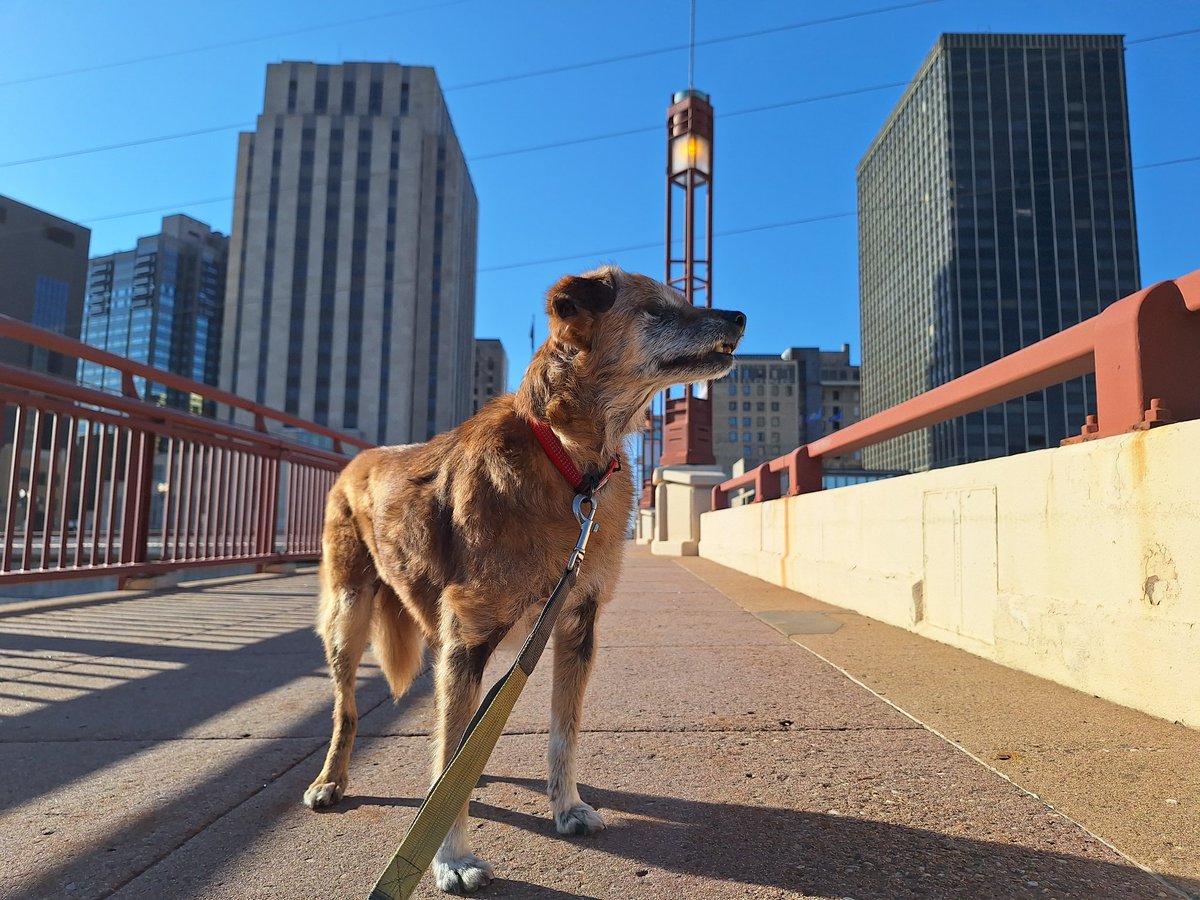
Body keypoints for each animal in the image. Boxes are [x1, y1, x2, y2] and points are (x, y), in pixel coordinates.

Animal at [304, 267, 744, 897]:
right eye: (659, 311)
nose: (740, 318)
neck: (569, 460)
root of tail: (355, 462)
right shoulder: (467, 636)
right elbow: (453, 740)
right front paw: (452, 857)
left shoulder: (576, 625)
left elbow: (564, 731)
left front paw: (567, 808)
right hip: (348, 615)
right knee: (349, 709)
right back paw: (332, 779)